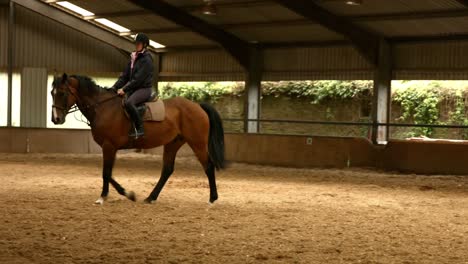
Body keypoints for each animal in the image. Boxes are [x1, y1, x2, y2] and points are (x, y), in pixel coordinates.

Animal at [50, 73, 226, 205]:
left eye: (62, 93)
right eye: (52, 93)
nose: (56, 119)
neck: (103, 107)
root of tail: (197, 106)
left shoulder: (109, 146)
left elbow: (106, 173)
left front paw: (109, 196)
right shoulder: (111, 147)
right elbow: (108, 173)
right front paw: (125, 194)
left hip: (197, 143)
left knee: (208, 166)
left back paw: (212, 199)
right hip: (173, 143)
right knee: (167, 170)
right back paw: (151, 197)